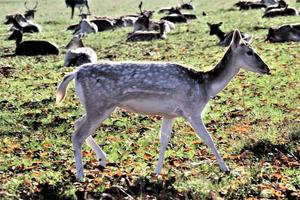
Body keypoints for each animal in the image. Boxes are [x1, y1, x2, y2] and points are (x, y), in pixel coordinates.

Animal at [56, 30, 272, 181]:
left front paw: (157, 171)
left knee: (77, 124)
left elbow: (163, 140)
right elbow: (208, 139)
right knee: (78, 134)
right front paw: (225, 168)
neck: (206, 87)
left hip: (97, 106)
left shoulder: (170, 114)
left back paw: (102, 160)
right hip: (99, 104)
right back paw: (81, 175)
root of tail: (75, 73)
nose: (267, 68)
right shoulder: (192, 110)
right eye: (250, 52)